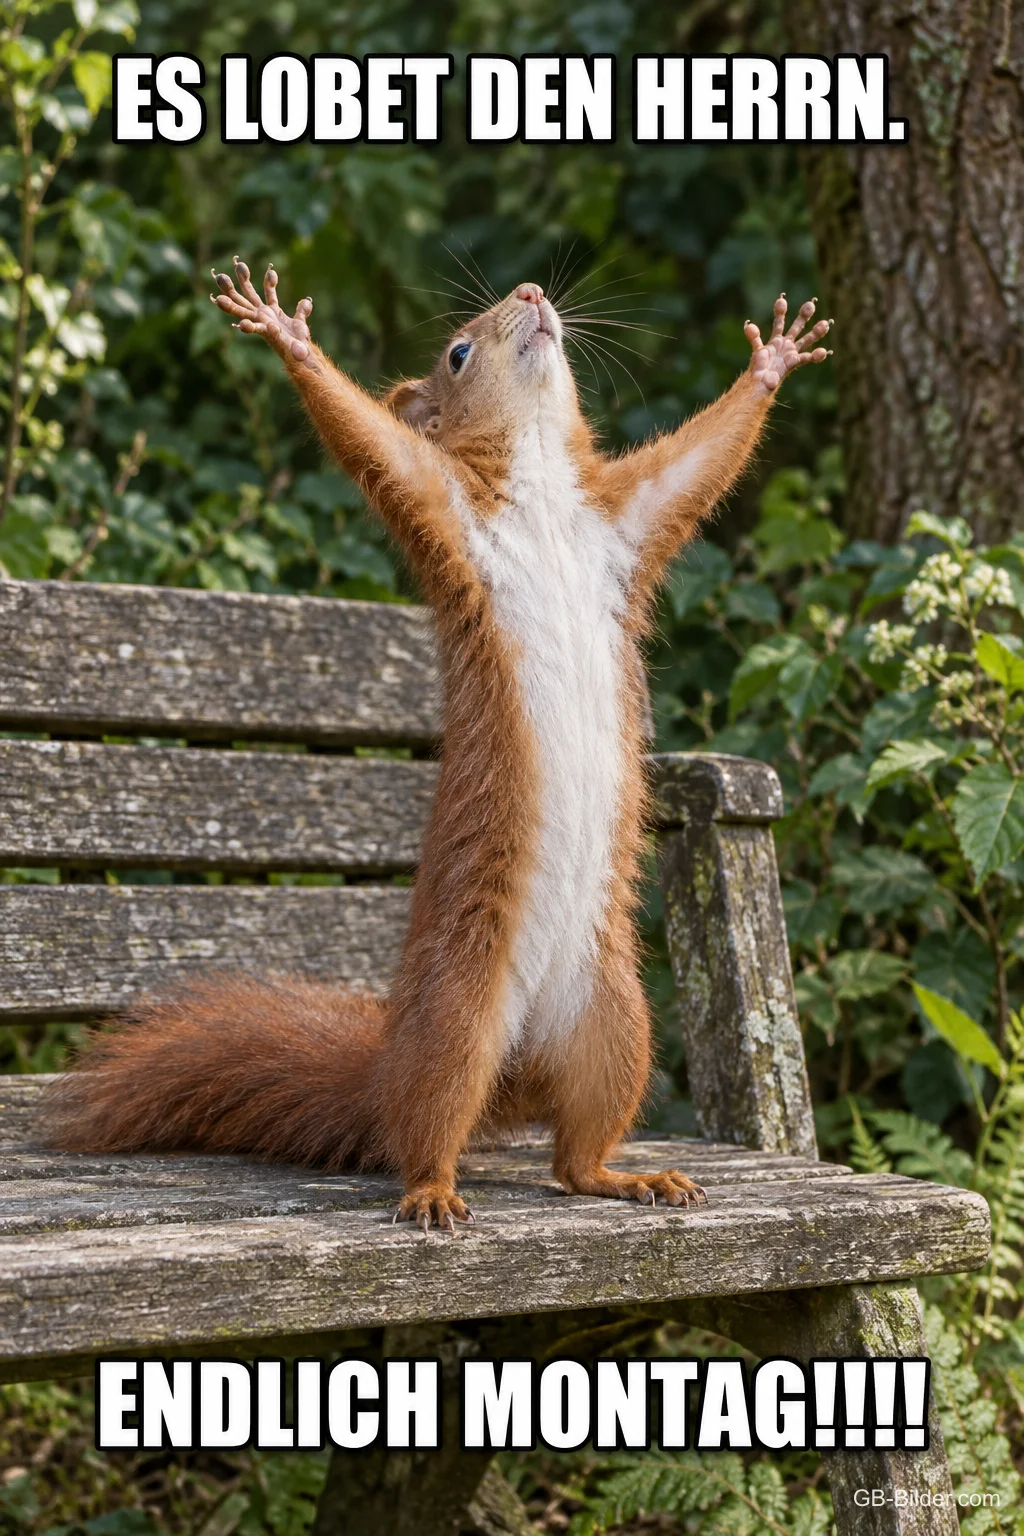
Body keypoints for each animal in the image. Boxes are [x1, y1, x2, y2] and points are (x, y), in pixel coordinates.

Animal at [47, 259, 831, 1232]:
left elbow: (696, 464)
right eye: (458, 352)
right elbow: (372, 444)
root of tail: (516, 1067)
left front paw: (773, 362)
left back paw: (626, 1176)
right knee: (426, 1123)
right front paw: (288, 336)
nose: (531, 293)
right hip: (458, 1017)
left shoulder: (626, 524)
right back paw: (432, 1189)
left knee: (573, 1157)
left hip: (615, 1024)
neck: (539, 490)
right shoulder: (441, 510)